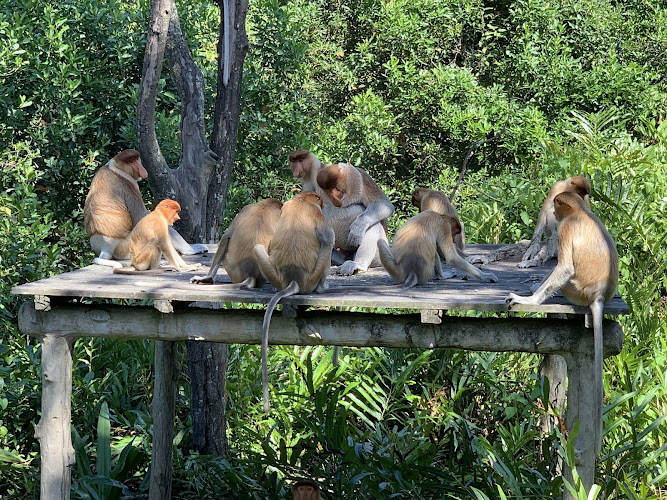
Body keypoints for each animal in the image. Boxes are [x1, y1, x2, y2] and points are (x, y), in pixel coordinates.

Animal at [253, 191, 335, 413]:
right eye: (320, 201)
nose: (324, 205)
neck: (302, 200)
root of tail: (293, 278)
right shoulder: (318, 215)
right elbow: (328, 238)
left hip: (275, 273)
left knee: (258, 247)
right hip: (312, 278)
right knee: (327, 245)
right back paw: (323, 287)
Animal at [506, 191, 618, 454]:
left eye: (556, 206)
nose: (554, 214)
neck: (581, 212)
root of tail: (598, 297)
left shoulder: (566, 229)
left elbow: (565, 267)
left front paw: (529, 299)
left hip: (575, 290)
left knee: (563, 274)